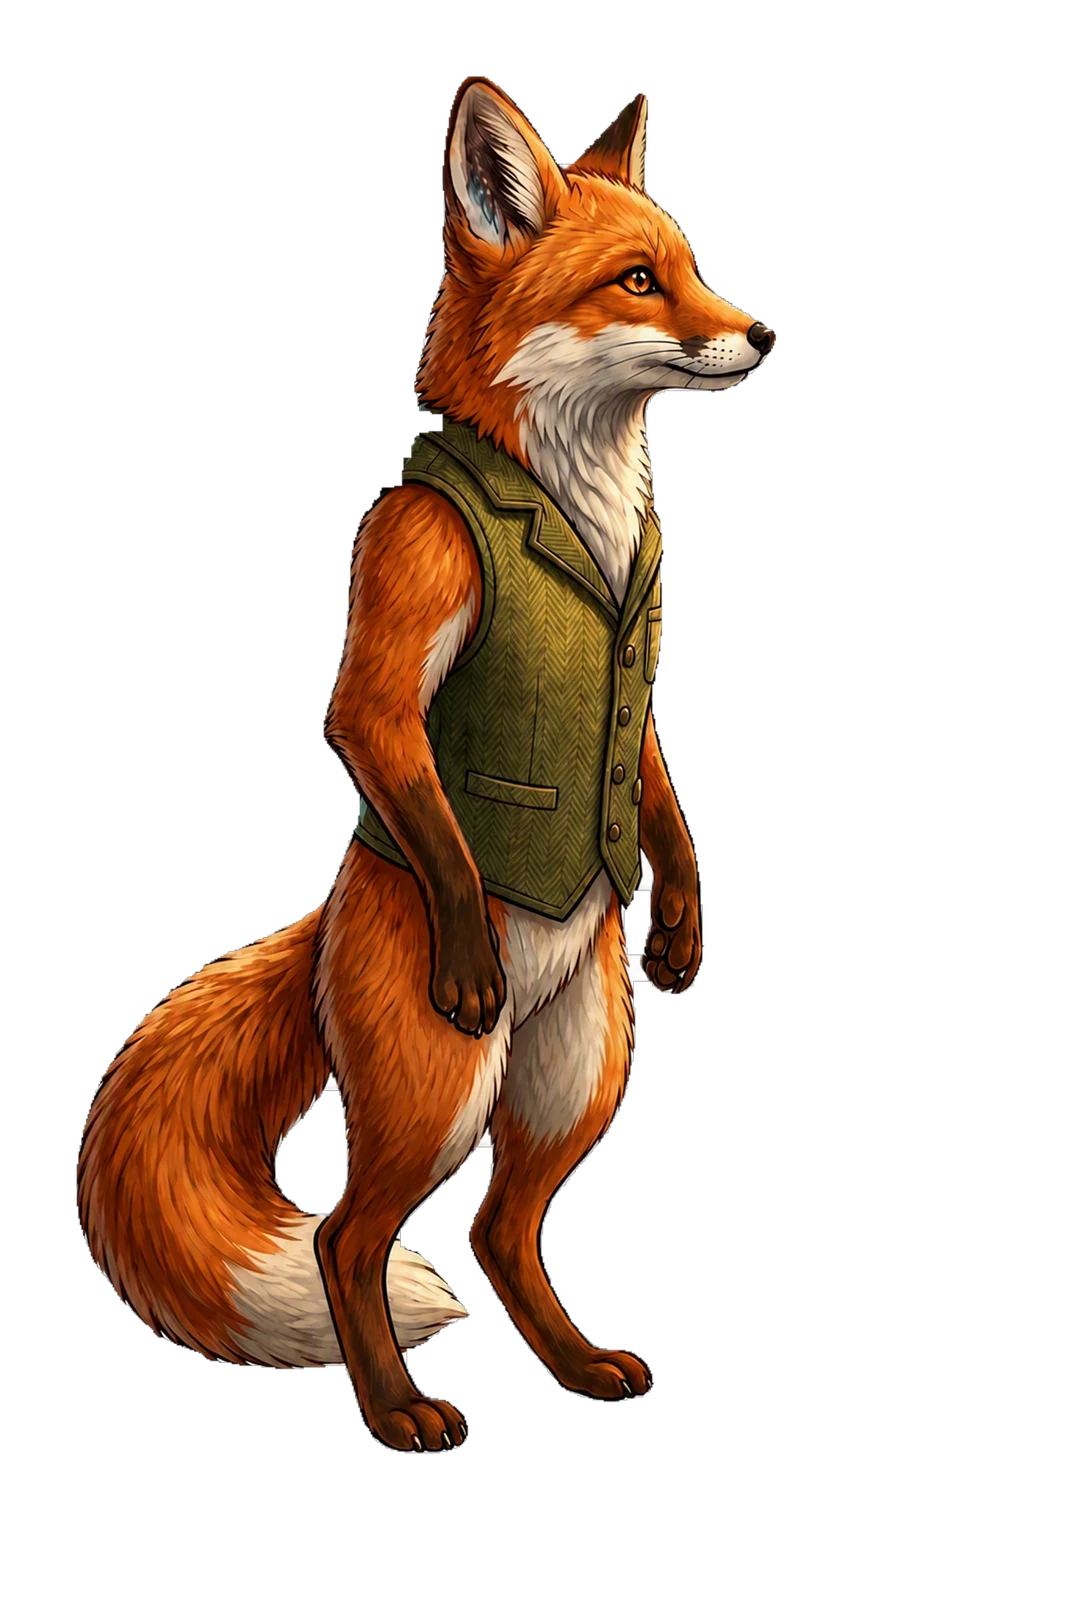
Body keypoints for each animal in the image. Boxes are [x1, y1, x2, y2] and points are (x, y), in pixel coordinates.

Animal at [76, 76, 774, 1453]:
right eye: (637, 280)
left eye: (691, 267)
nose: (762, 333)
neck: (580, 512)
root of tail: (334, 919)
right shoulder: (398, 613)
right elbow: (384, 734)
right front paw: (466, 941)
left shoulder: (640, 697)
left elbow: (652, 781)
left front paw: (679, 910)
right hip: (442, 1087)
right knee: (348, 1238)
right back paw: (398, 1405)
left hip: (576, 1076)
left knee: (502, 1228)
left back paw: (574, 1362)